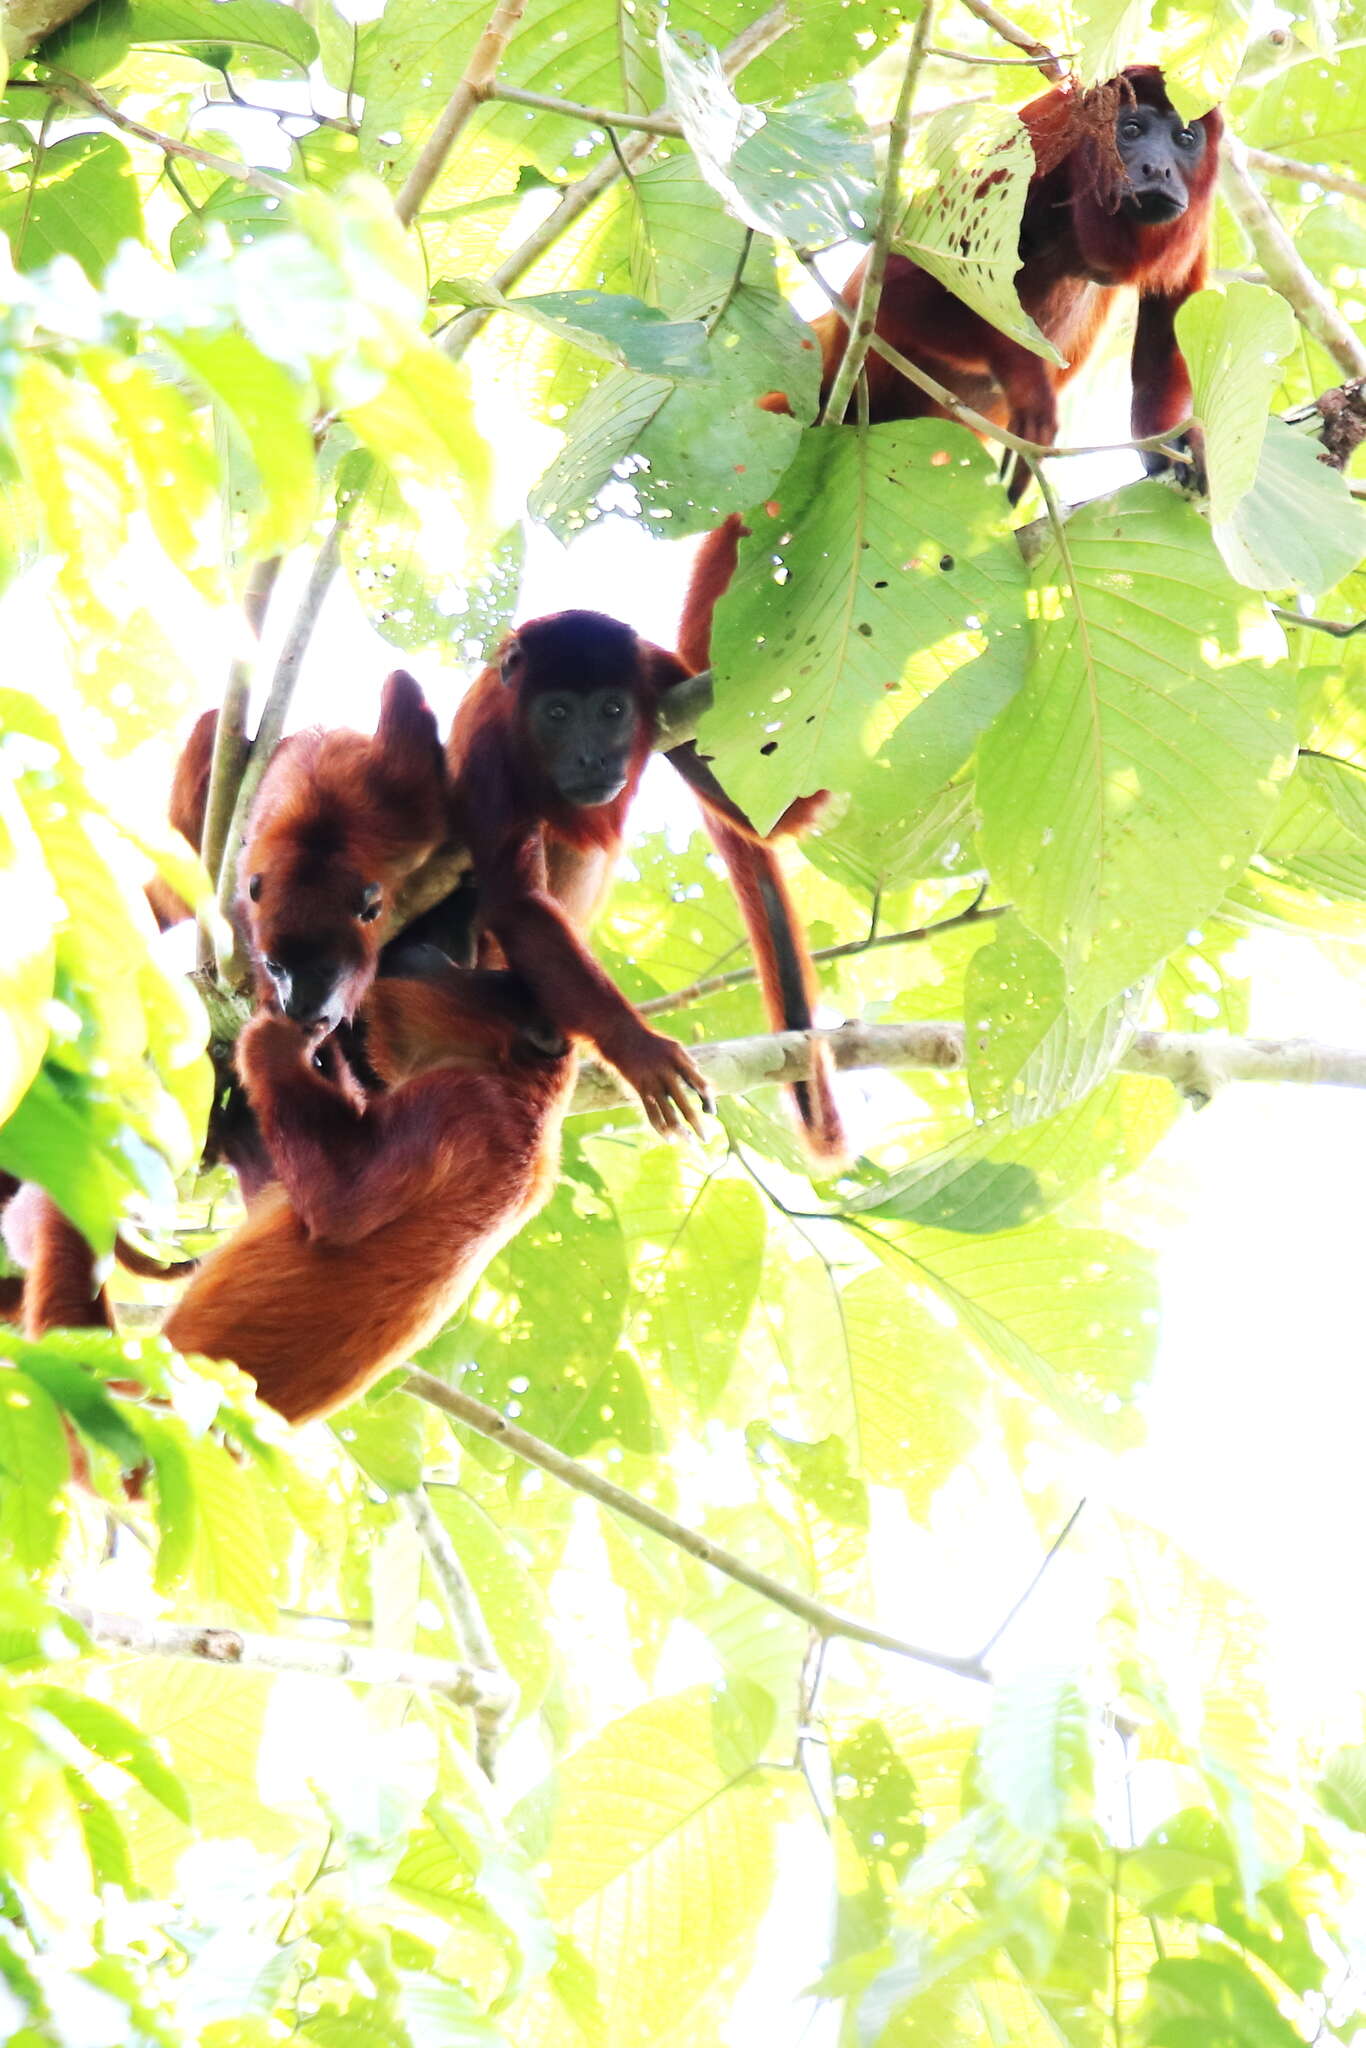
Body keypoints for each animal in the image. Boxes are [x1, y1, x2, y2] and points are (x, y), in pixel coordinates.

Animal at [448, 606, 843, 1163]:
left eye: (612, 710)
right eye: (557, 714)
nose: (591, 759)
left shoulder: (661, 673)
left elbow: (765, 809)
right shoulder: (487, 755)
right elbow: (517, 903)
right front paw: (637, 1048)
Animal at [679, 61, 1220, 663]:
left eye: (1185, 138)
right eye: (1130, 129)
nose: (1159, 167)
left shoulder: (1194, 229)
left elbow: (1172, 330)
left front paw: (1172, 443)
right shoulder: (1027, 152)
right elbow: (895, 289)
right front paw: (1028, 385)